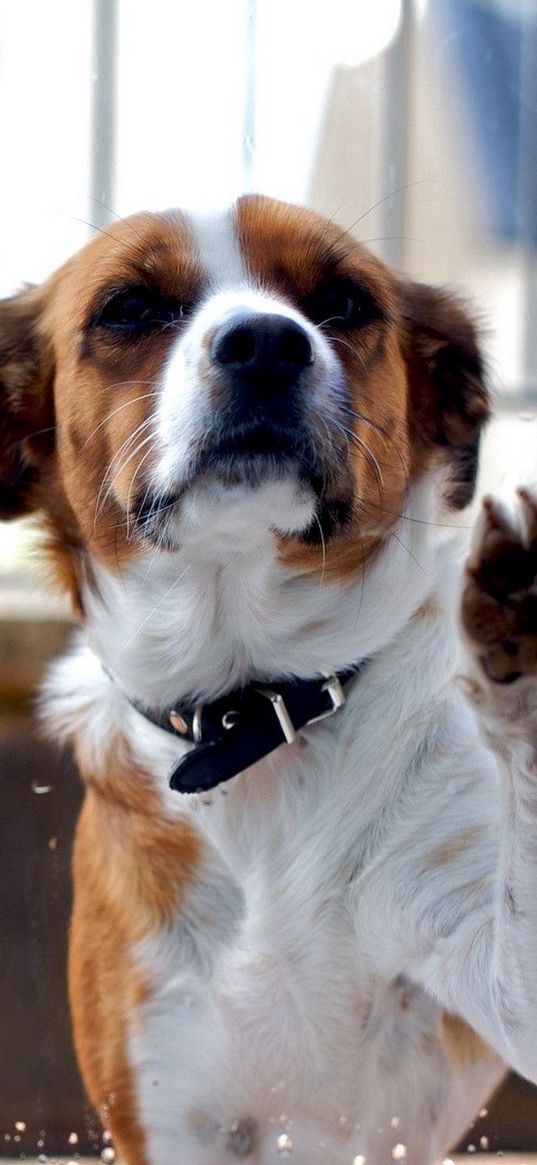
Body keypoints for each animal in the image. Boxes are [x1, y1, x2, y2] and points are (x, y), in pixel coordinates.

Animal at [0, 195, 533, 1160]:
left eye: (344, 300)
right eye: (129, 307)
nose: (264, 341)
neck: (259, 708)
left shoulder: (493, 973)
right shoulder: (166, 1102)